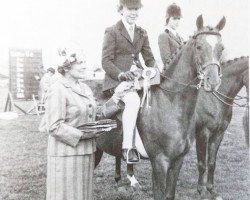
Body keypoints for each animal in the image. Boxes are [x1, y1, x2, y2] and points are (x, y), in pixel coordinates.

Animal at [95, 16, 225, 200]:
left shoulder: (177, 161)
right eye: (199, 46)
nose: (212, 82)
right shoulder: (159, 162)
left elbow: (169, 194)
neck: (170, 104)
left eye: (222, 48)